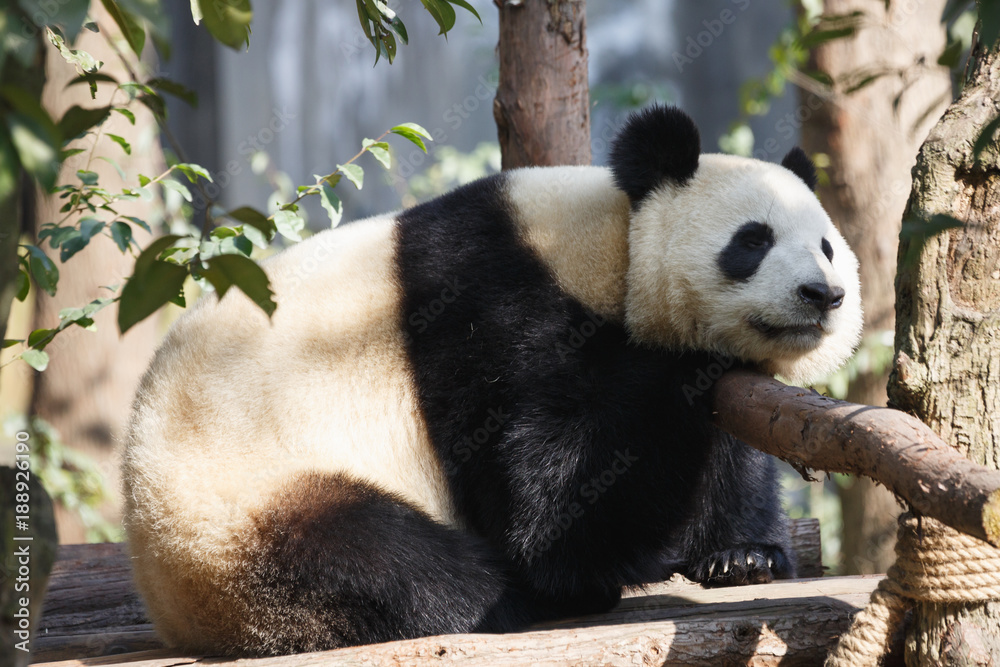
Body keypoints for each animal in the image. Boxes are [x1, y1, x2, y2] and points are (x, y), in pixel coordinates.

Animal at [121, 105, 862, 656]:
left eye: (828, 246)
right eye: (753, 240)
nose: (822, 295)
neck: (609, 240)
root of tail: (173, 606)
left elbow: (723, 448)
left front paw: (742, 558)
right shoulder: (491, 306)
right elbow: (545, 494)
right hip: (243, 501)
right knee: (381, 559)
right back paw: (522, 595)